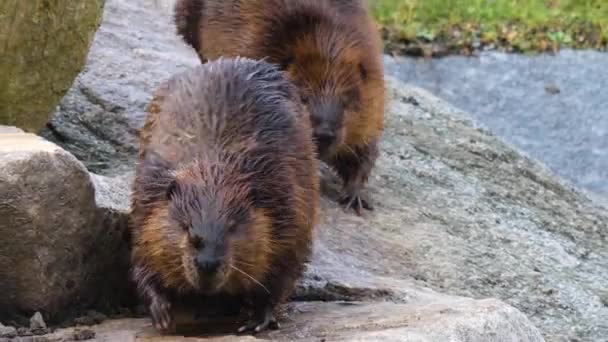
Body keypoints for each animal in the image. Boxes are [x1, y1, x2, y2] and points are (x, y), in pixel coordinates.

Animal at [127, 56, 318, 334]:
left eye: (232, 227)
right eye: (187, 228)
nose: (207, 264)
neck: (213, 173)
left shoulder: (287, 201)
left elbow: (283, 268)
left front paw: (257, 319)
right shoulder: (147, 198)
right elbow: (143, 258)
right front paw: (162, 314)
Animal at [170, 0, 384, 215]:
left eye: (346, 102)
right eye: (304, 97)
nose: (324, 134)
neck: (326, 42)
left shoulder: (372, 97)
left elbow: (365, 150)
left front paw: (354, 197)